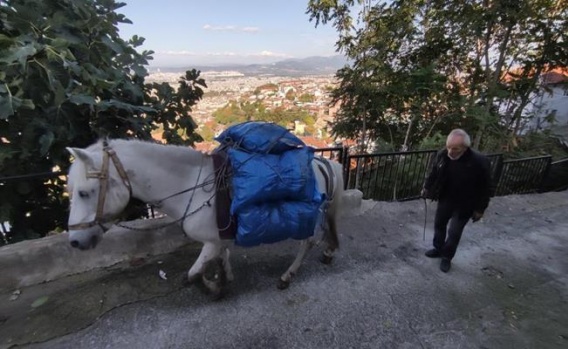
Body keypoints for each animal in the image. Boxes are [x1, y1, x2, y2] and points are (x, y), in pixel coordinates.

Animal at [64, 121, 344, 294]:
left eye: (84, 193)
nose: (75, 241)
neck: (192, 185)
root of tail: (323, 163)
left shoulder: (210, 242)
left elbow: (193, 275)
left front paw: (214, 288)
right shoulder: (219, 239)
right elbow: (222, 258)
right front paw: (224, 279)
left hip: (310, 217)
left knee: (308, 242)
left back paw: (288, 275)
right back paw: (328, 252)